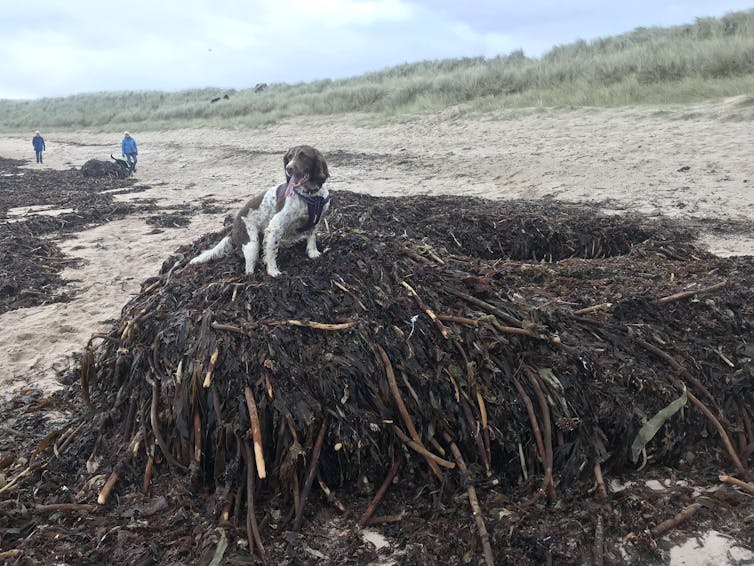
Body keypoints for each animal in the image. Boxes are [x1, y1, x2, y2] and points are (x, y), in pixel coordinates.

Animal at [188, 146, 328, 280]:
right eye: (289, 157)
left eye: (303, 156)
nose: (288, 168)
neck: (310, 195)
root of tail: (233, 228)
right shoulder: (275, 227)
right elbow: (272, 252)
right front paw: (273, 271)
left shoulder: (315, 221)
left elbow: (311, 237)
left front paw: (313, 253)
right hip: (252, 244)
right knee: (249, 269)